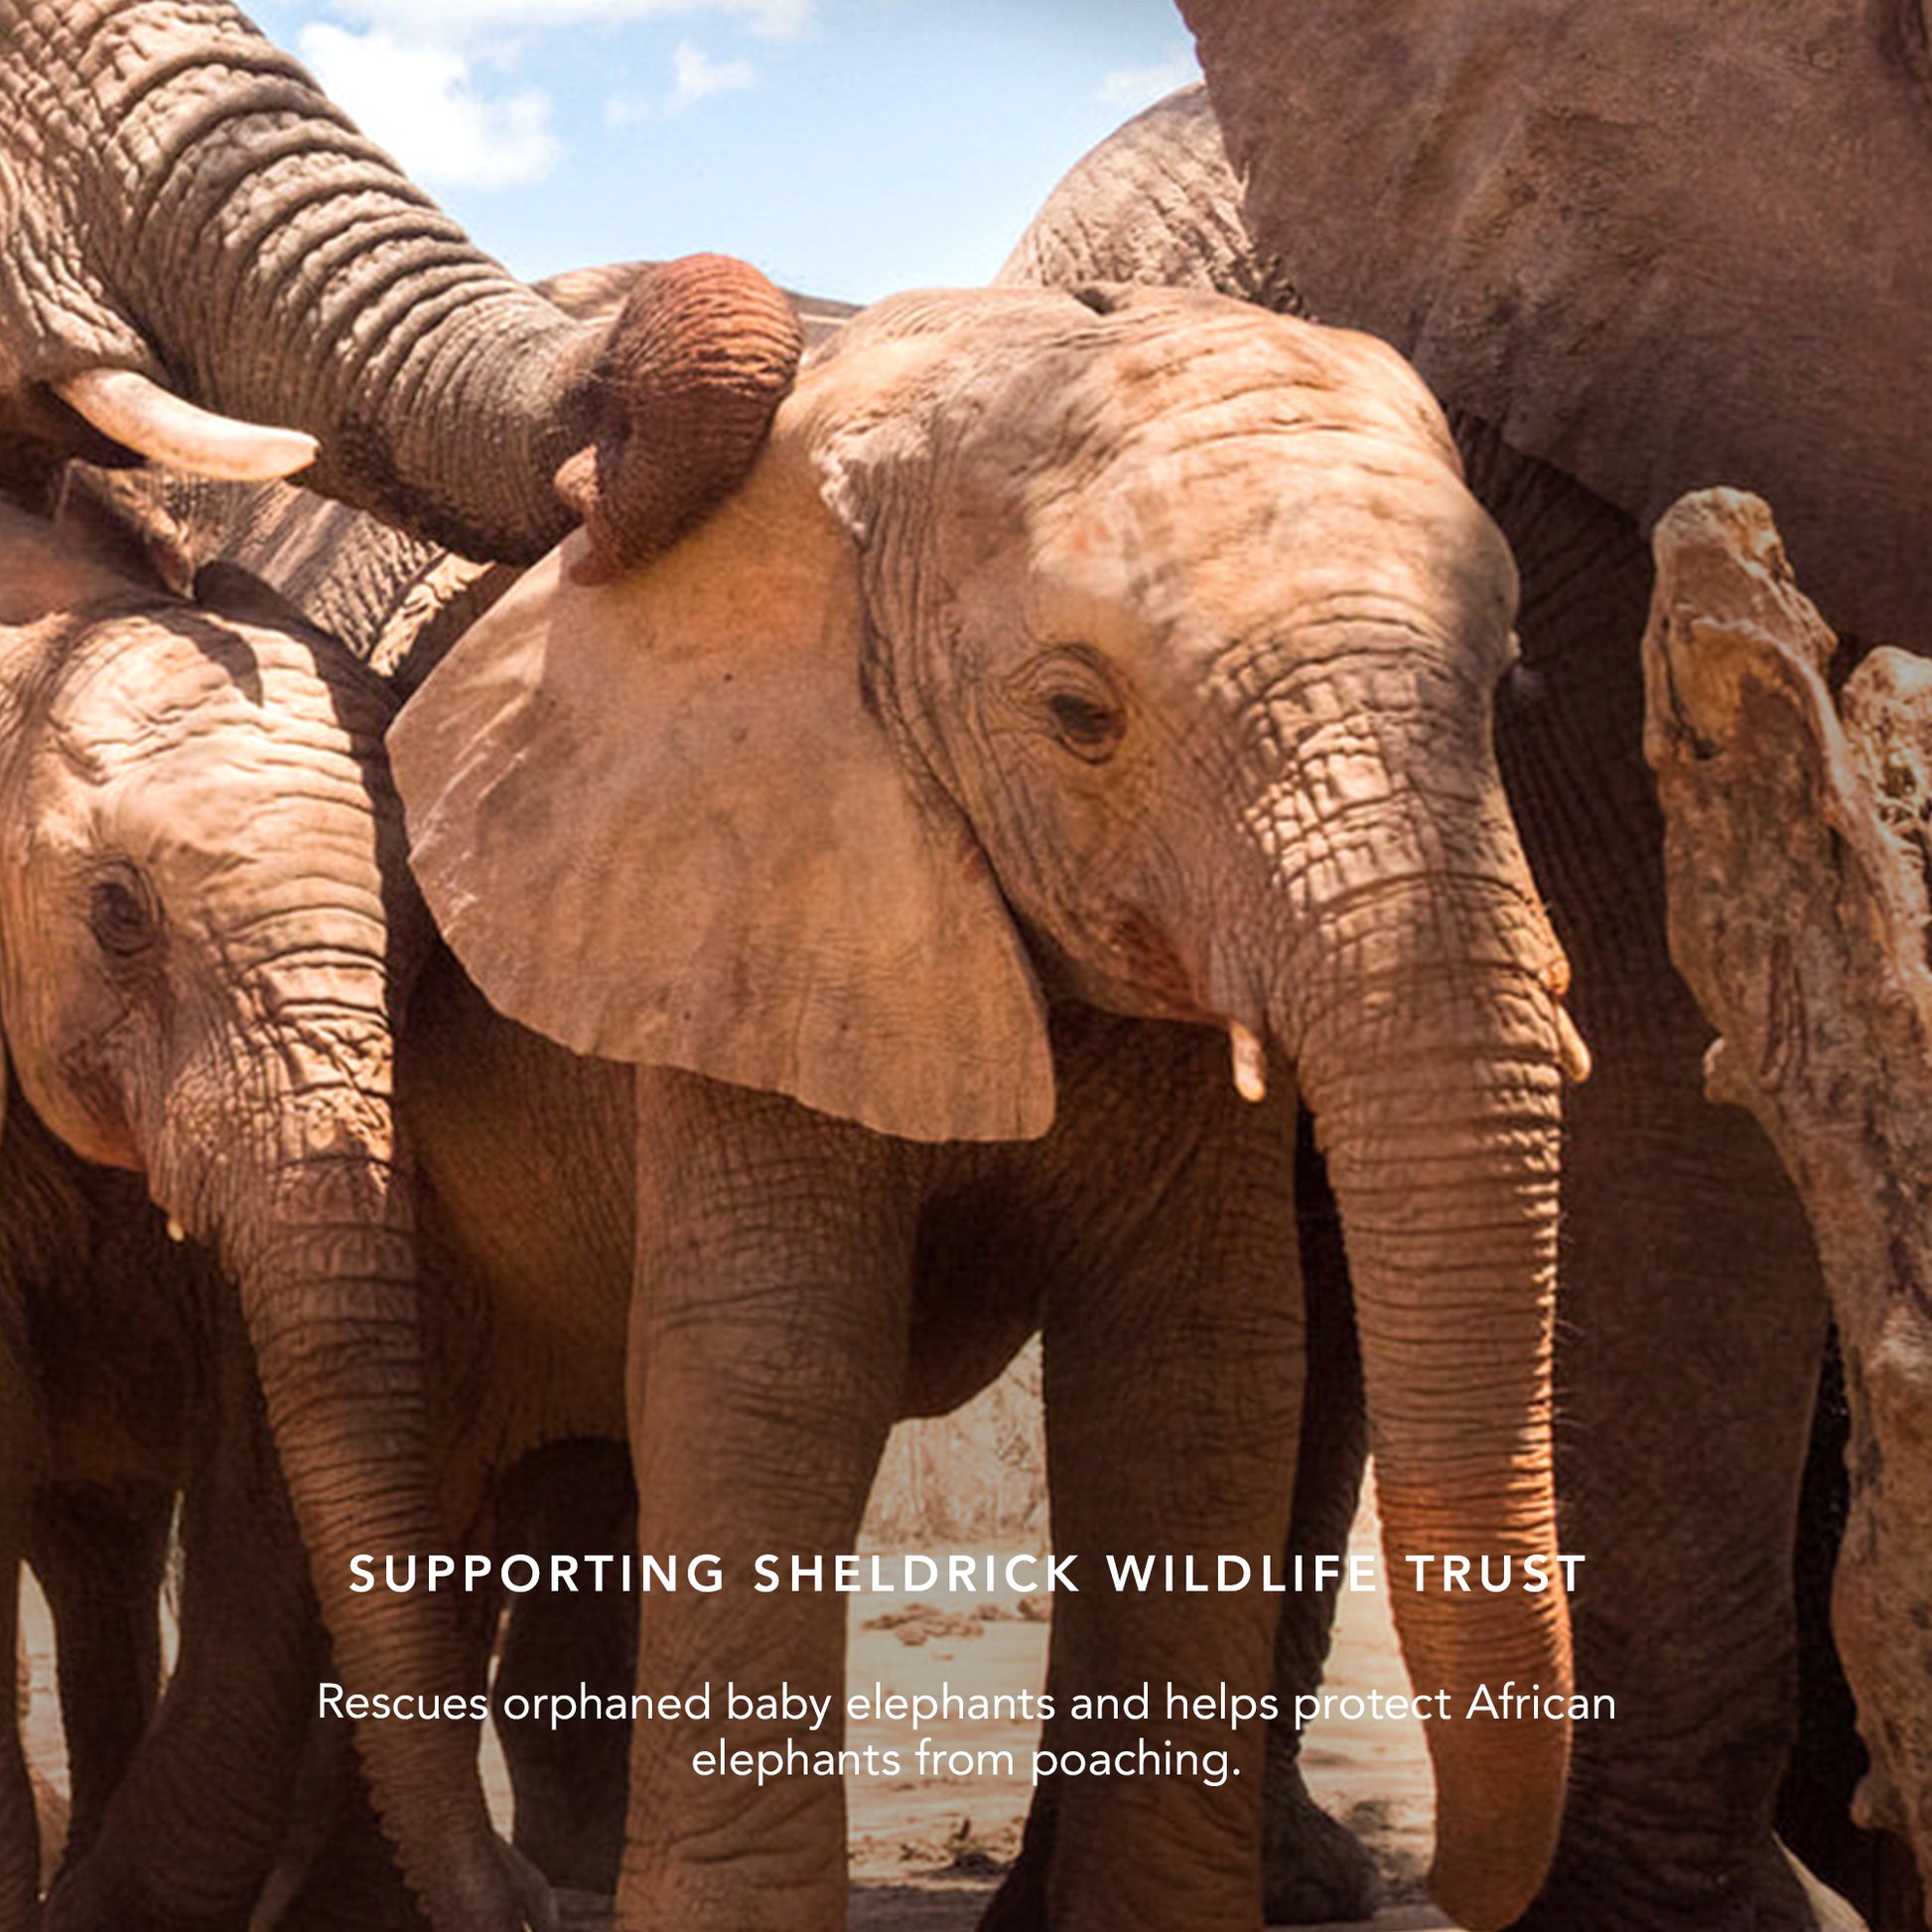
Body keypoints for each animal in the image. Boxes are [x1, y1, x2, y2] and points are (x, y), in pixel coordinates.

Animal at [388, 278, 1588, 1932]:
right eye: (1078, 713)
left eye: (1507, 684)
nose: (1451, 1887)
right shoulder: (737, 889)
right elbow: (777, 1370)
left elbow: (1194, 1370)